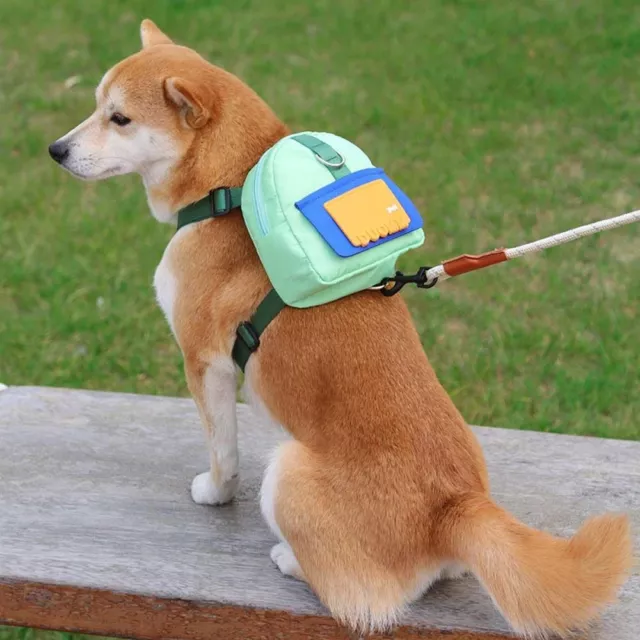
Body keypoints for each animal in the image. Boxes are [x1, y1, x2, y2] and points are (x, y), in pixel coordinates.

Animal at [47, 18, 632, 636]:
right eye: (95, 106)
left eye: (120, 118)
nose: (55, 150)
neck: (229, 191)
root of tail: (453, 507)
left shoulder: (204, 362)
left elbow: (224, 452)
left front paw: (215, 492)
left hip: (288, 471)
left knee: (362, 593)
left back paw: (289, 558)